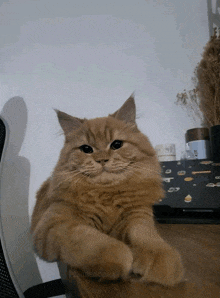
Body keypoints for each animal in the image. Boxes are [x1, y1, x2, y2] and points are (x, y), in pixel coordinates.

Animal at [30, 96, 183, 296]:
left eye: (116, 144)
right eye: (86, 149)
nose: (102, 160)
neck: (107, 194)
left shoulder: (138, 215)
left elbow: (147, 237)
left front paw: (163, 262)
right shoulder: (55, 225)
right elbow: (97, 243)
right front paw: (121, 260)